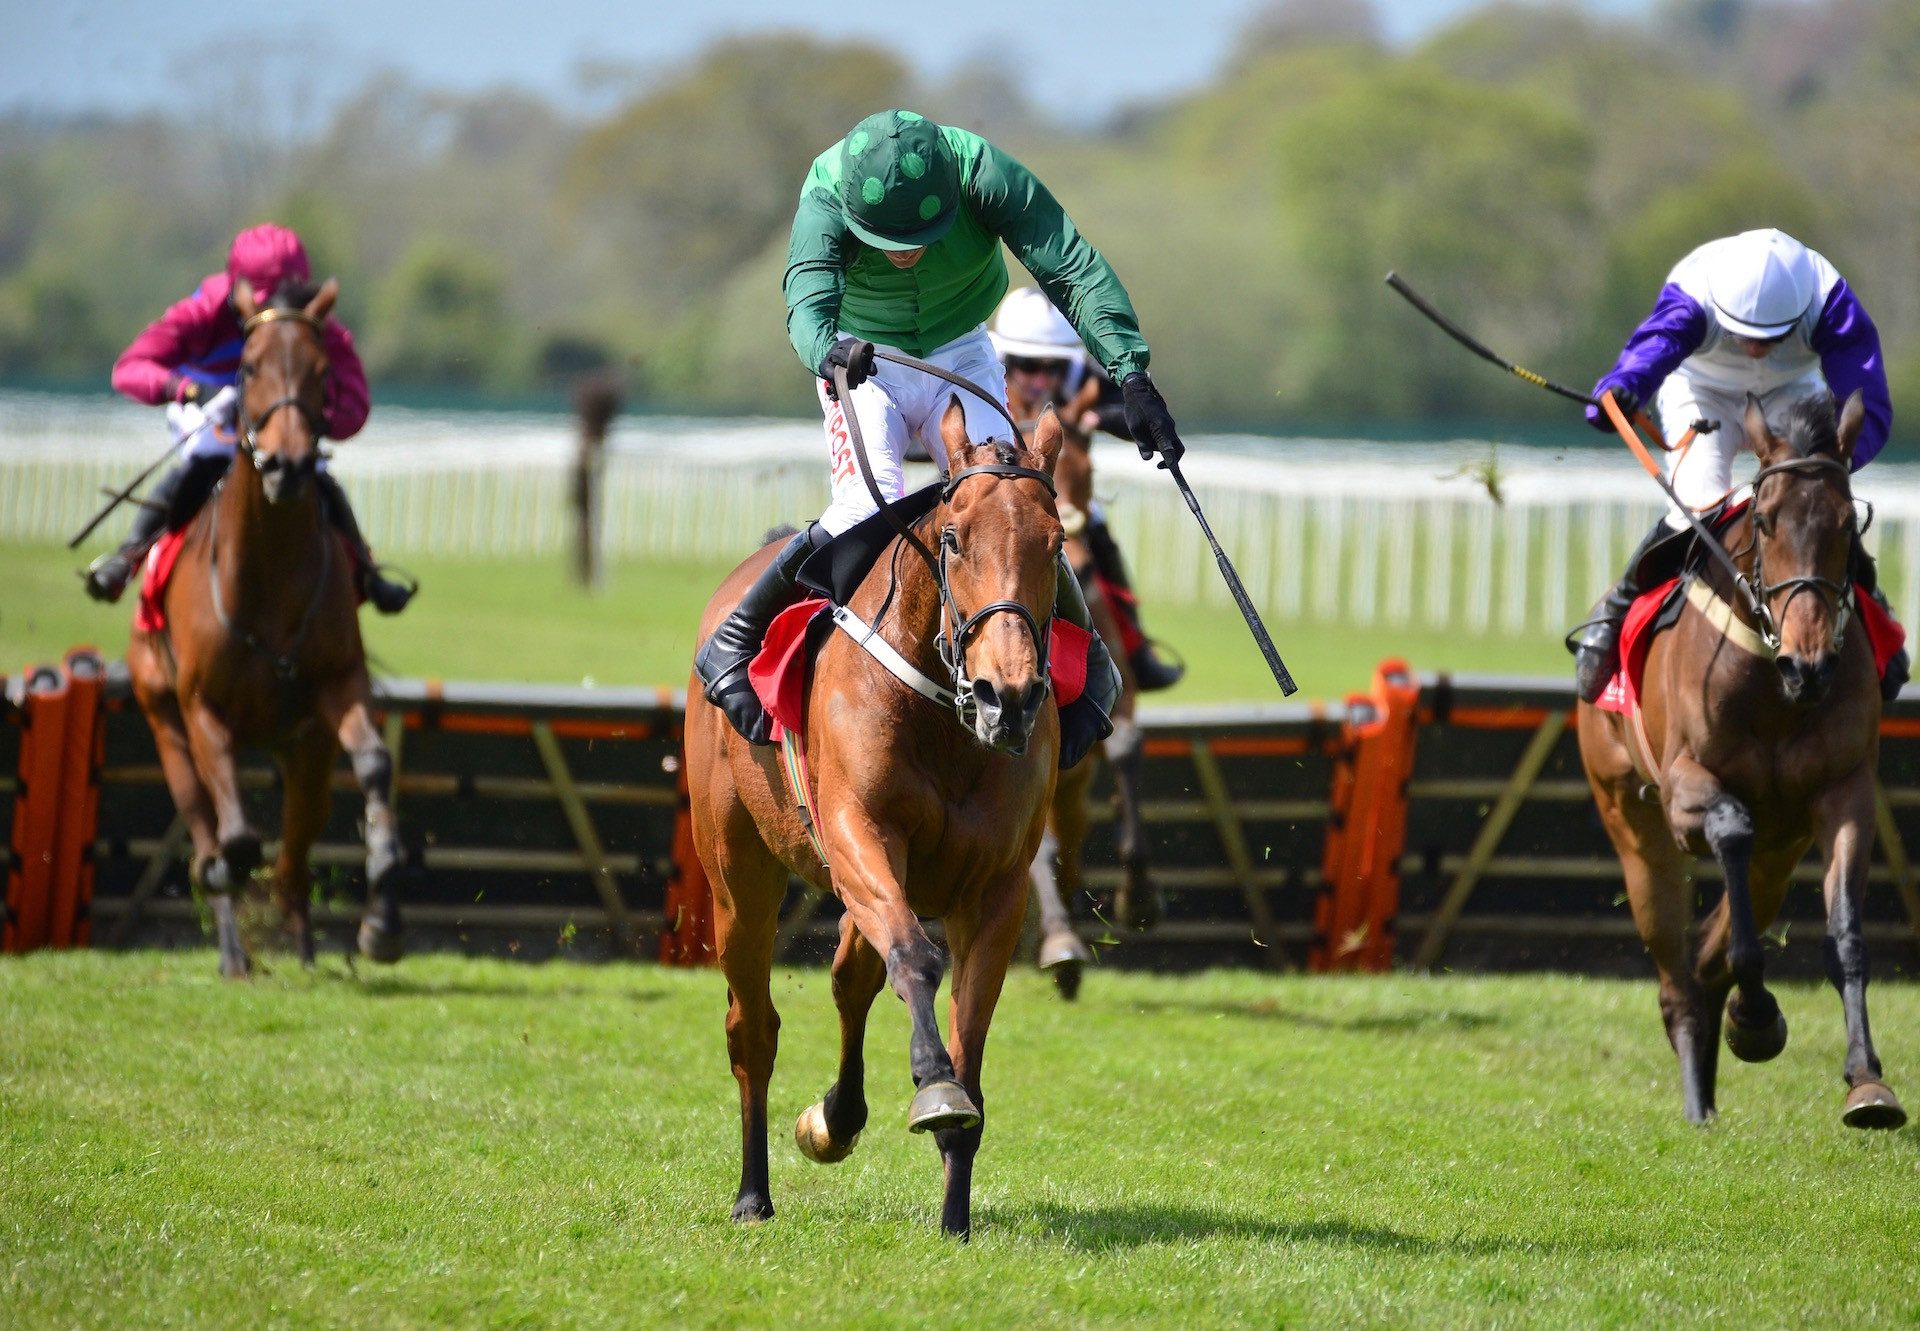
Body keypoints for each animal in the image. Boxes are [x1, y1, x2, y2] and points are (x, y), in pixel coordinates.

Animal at [127, 278, 405, 975]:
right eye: (248, 367)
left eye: (324, 370)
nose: (288, 465)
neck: (270, 574)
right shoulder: (203, 709)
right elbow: (235, 840)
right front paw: (224, 878)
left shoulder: (338, 686)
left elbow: (374, 766)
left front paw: (382, 921)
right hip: (164, 718)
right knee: (207, 825)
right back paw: (234, 950)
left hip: (304, 747)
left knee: (297, 848)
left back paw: (302, 945)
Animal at [691, 393, 1075, 1236]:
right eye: (954, 537)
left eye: (1057, 543)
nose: (1008, 696)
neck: (945, 718)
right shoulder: (860, 834)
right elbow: (914, 957)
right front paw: (933, 1085)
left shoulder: (996, 887)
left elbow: (968, 1026)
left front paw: (956, 1210)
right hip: (739, 875)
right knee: (752, 1027)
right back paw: (753, 1192)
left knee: (848, 976)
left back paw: (836, 1117)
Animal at [1574, 389, 1904, 1129]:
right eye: (1765, 518)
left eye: (1848, 524)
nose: (1808, 665)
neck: (1772, 685)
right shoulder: (1683, 790)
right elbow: (1728, 834)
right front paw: (1754, 1018)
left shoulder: (1844, 792)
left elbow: (1845, 932)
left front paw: (1868, 1081)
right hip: (1631, 824)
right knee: (1676, 965)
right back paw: (1699, 1094)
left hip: (1780, 851)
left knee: (1709, 948)